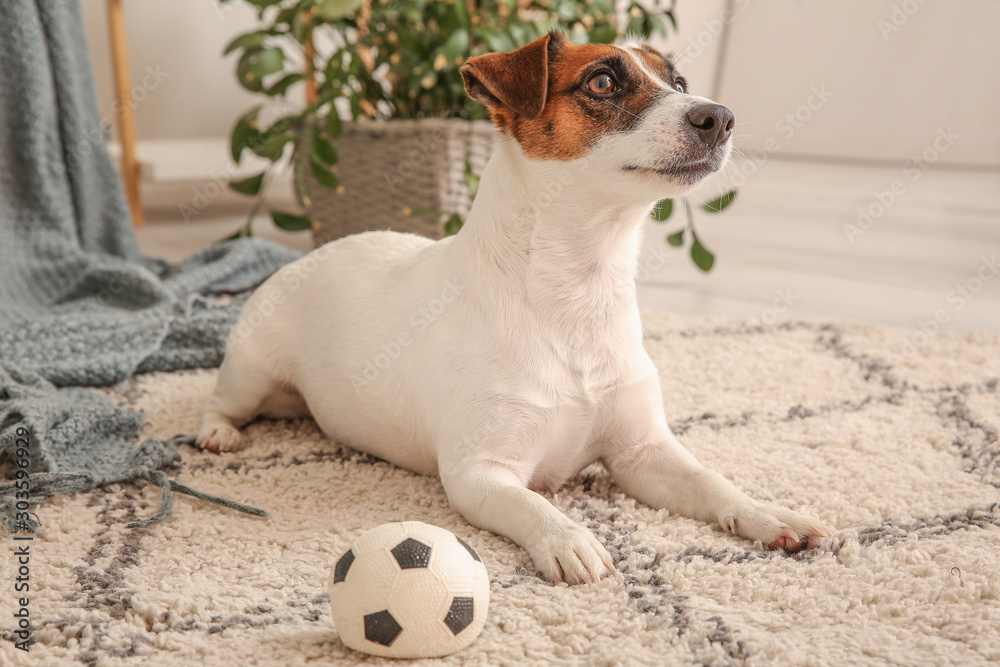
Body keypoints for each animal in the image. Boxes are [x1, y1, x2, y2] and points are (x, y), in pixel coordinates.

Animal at [199, 31, 832, 584]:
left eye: (678, 83)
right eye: (603, 82)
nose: (719, 117)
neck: (578, 289)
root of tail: (309, 254)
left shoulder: (643, 453)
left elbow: (712, 482)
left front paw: (770, 513)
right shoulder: (479, 473)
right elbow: (535, 506)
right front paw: (570, 539)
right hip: (250, 372)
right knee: (222, 401)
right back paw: (218, 433)